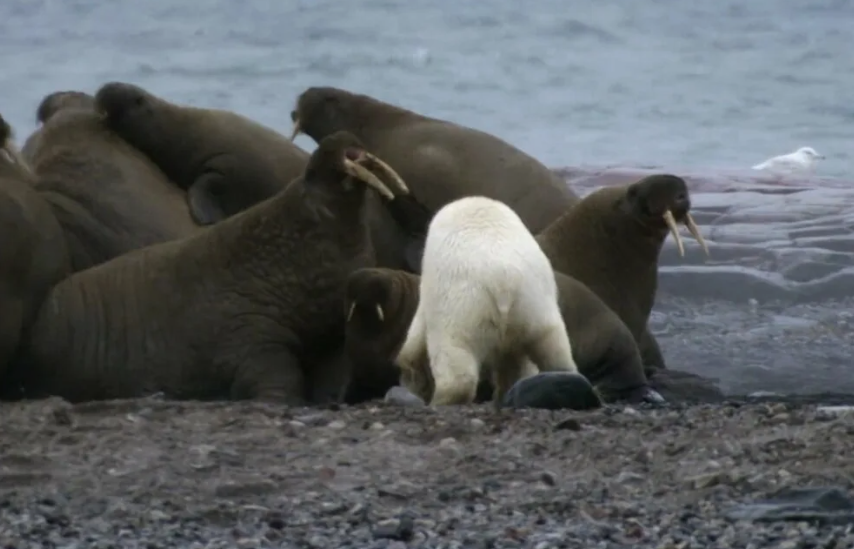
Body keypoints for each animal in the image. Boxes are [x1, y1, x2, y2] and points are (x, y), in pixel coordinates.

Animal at [398, 195, 584, 404]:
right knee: (554, 348)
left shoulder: (431, 289)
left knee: (455, 356)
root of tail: (503, 284)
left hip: (465, 307)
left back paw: (443, 399)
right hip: (534, 305)